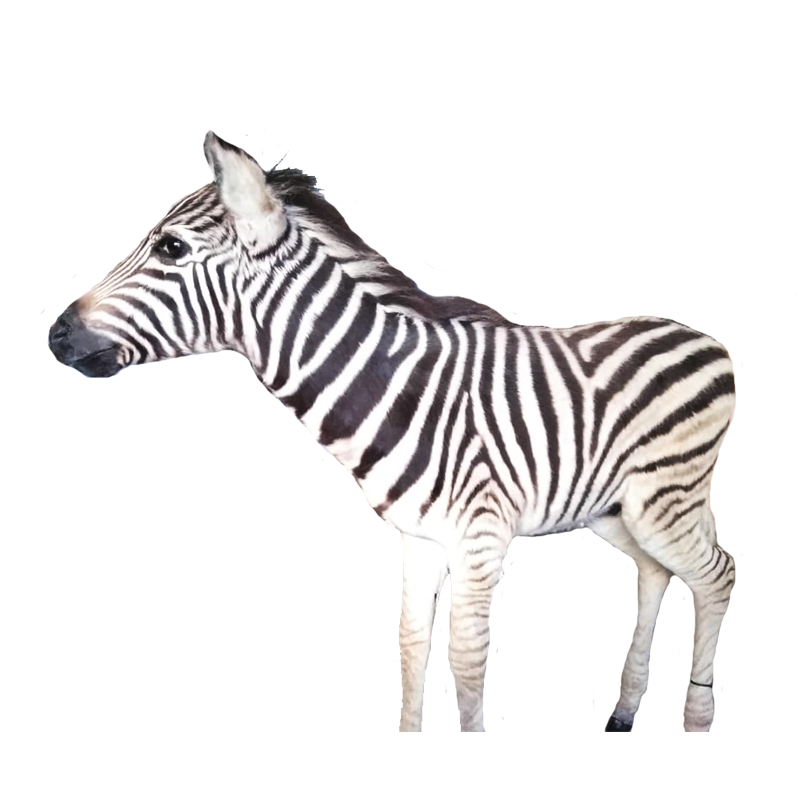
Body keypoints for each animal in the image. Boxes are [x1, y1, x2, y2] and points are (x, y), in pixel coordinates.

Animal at [49, 133, 738, 733]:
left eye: (170, 249)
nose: (56, 331)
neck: (395, 387)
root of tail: (701, 337)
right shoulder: (422, 536)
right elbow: (409, 647)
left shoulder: (479, 536)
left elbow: (464, 664)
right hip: (609, 506)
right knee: (654, 573)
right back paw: (626, 710)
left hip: (661, 501)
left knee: (715, 575)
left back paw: (698, 719)